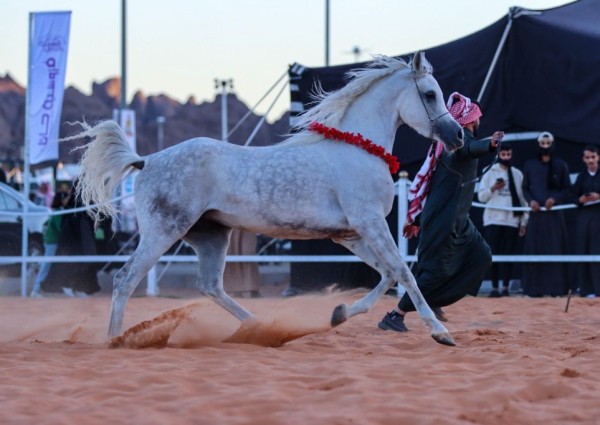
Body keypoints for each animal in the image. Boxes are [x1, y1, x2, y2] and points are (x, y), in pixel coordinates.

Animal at [70, 52, 464, 344]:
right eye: (430, 94)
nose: (457, 135)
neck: (358, 149)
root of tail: (147, 159)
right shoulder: (370, 223)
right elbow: (404, 272)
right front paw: (441, 331)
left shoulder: (350, 234)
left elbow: (387, 274)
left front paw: (338, 314)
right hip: (163, 231)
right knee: (125, 280)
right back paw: (114, 341)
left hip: (210, 237)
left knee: (210, 286)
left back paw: (260, 326)